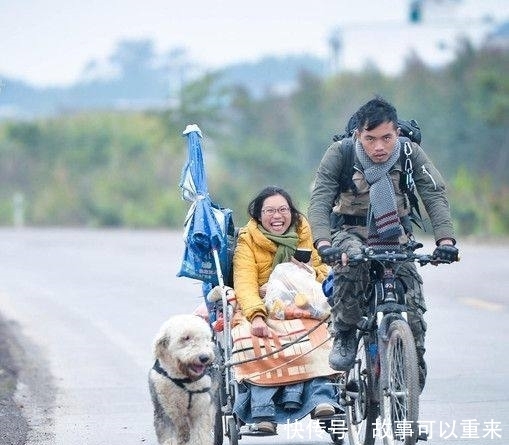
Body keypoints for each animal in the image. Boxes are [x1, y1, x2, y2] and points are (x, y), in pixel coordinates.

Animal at [149, 314, 216, 442]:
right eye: (186, 338)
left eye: (206, 338)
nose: (204, 357)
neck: (185, 379)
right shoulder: (166, 410)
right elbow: (169, 437)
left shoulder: (201, 409)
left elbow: (200, 436)